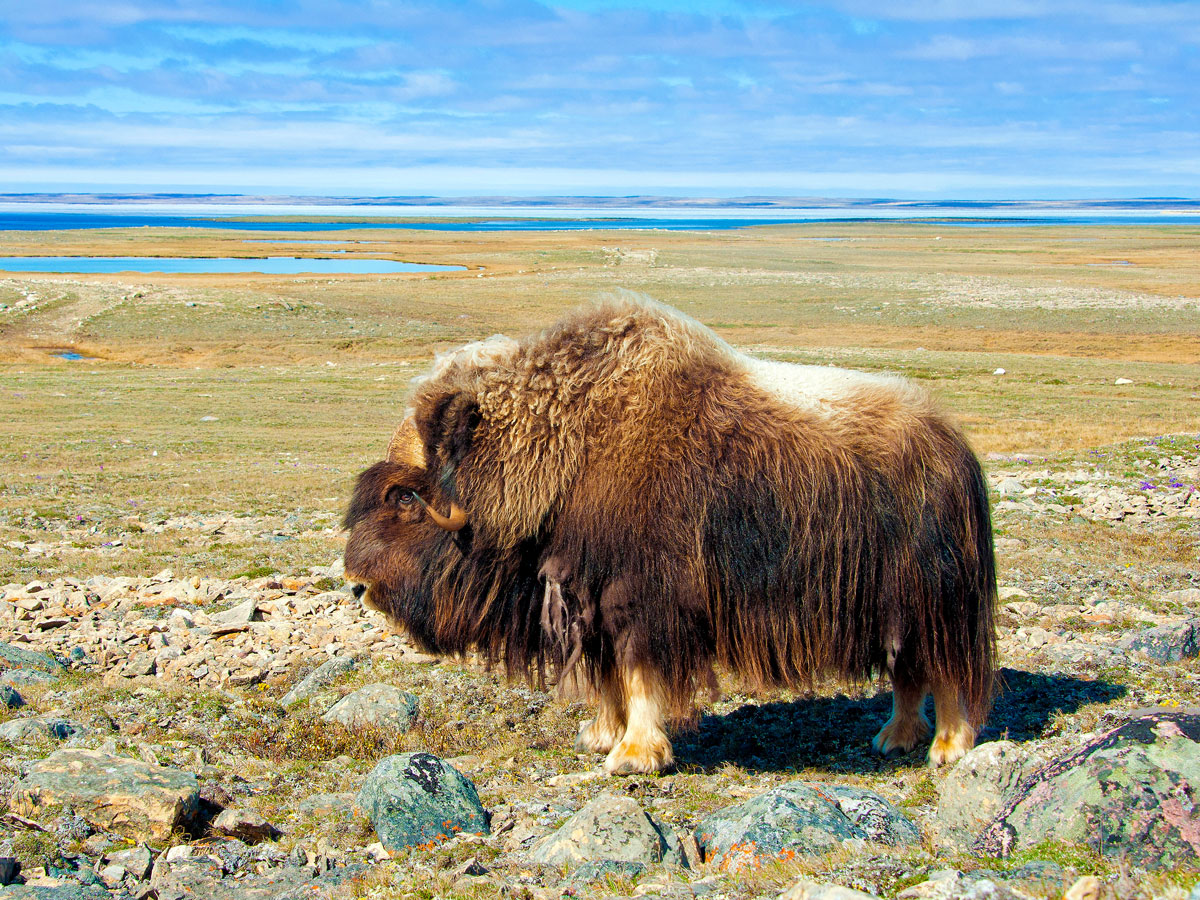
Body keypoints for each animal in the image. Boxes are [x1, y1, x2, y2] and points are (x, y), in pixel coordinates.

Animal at [344, 295, 996, 774]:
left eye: (405, 496)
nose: (354, 582)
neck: (556, 449)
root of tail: (954, 443)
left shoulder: (642, 598)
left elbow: (639, 673)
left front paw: (634, 755)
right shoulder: (586, 596)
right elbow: (606, 673)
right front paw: (599, 736)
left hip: (935, 596)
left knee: (946, 668)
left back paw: (948, 747)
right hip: (897, 607)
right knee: (909, 669)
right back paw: (895, 737)